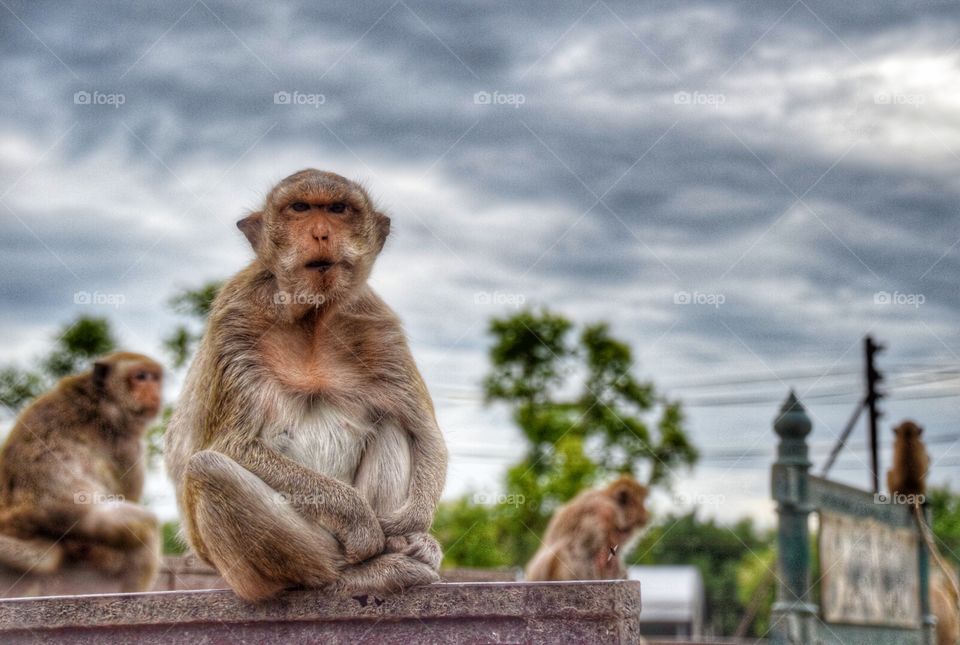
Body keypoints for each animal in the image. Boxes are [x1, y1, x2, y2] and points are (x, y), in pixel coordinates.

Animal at [0, 352, 163, 592]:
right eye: (141, 376)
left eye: (156, 378)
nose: (154, 393)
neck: (98, 400)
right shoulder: (128, 446)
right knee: (143, 526)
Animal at [165, 169, 448, 602]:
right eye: (299, 208)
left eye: (338, 209)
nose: (320, 233)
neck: (312, 317)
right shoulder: (236, 318)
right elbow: (232, 445)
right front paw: (360, 521)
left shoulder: (379, 327)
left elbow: (427, 437)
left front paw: (409, 527)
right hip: (254, 567)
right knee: (208, 470)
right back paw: (351, 575)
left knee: (392, 425)